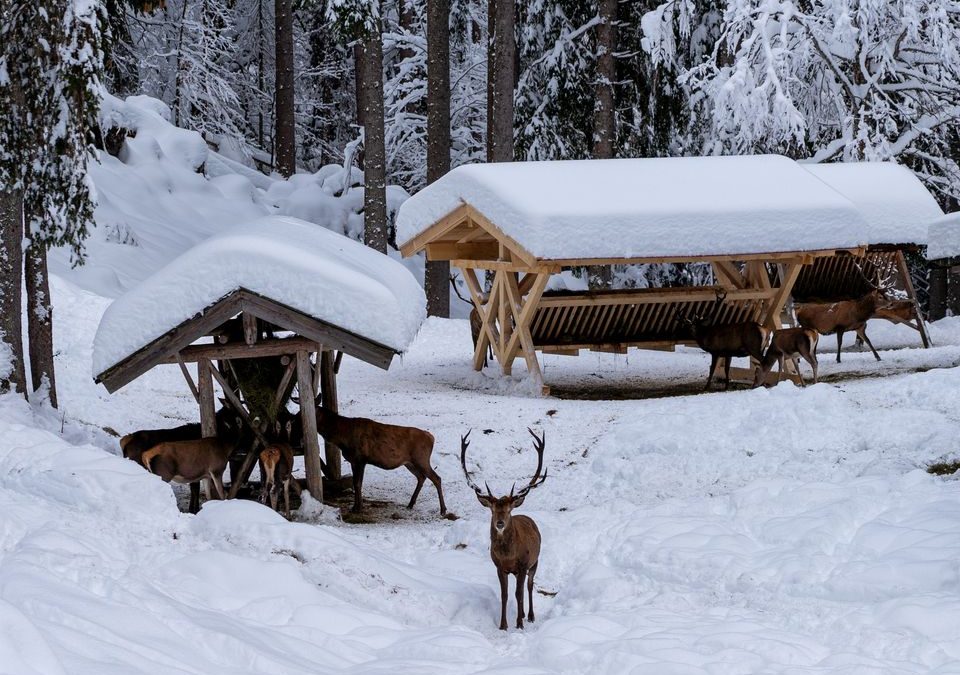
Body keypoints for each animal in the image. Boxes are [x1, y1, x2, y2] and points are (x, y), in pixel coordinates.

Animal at [316, 410, 448, 516]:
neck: (342, 439)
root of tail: (431, 437)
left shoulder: (360, 459)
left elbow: (358, 483)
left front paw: (357, 508)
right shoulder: (355, 461)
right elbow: (356, 483)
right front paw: (357, 506)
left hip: (421, 459)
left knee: (436, 478)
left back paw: (443, 510)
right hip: (409, 463)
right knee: (421, 477)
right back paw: (410, 504)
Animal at [460, 430, 544, 632]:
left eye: (508, 509)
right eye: (492, 509)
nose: (499, 523)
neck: (509, 556)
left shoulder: (523, 564)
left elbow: (519, 593)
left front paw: (519, 624)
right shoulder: (499, 566)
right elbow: (505, 595)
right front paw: (503, 625)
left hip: (535, 561)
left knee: (529, 586)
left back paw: (529, 616)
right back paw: (522, 614)